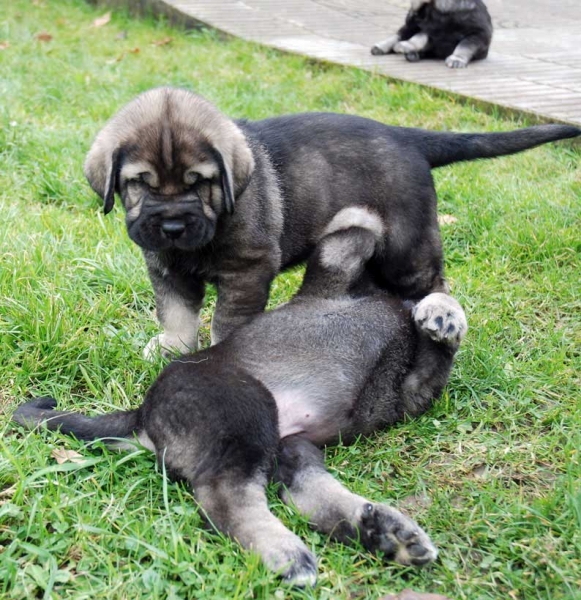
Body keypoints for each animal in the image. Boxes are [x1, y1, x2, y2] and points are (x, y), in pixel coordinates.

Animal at [12, 209, 466, 588]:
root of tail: (142, 414)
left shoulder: (413, 390)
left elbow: (435, 351)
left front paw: (439, 312)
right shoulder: (332, 274)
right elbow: (352, 233)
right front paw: (437, 308)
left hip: (287, 443)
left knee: (300, 488)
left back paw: (384, 534)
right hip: (245, 411)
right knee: (225, 496)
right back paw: (289, 554)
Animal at [84, 86, 576, 354]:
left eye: (199, 182)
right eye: (139, 183)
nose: (170, 227)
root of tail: (406, 137)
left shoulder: (247, 269)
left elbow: (227, 320)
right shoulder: (165, 268)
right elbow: (176, 312)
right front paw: (172, 346)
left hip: (406, 240)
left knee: (432, 281)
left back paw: (442, 313)